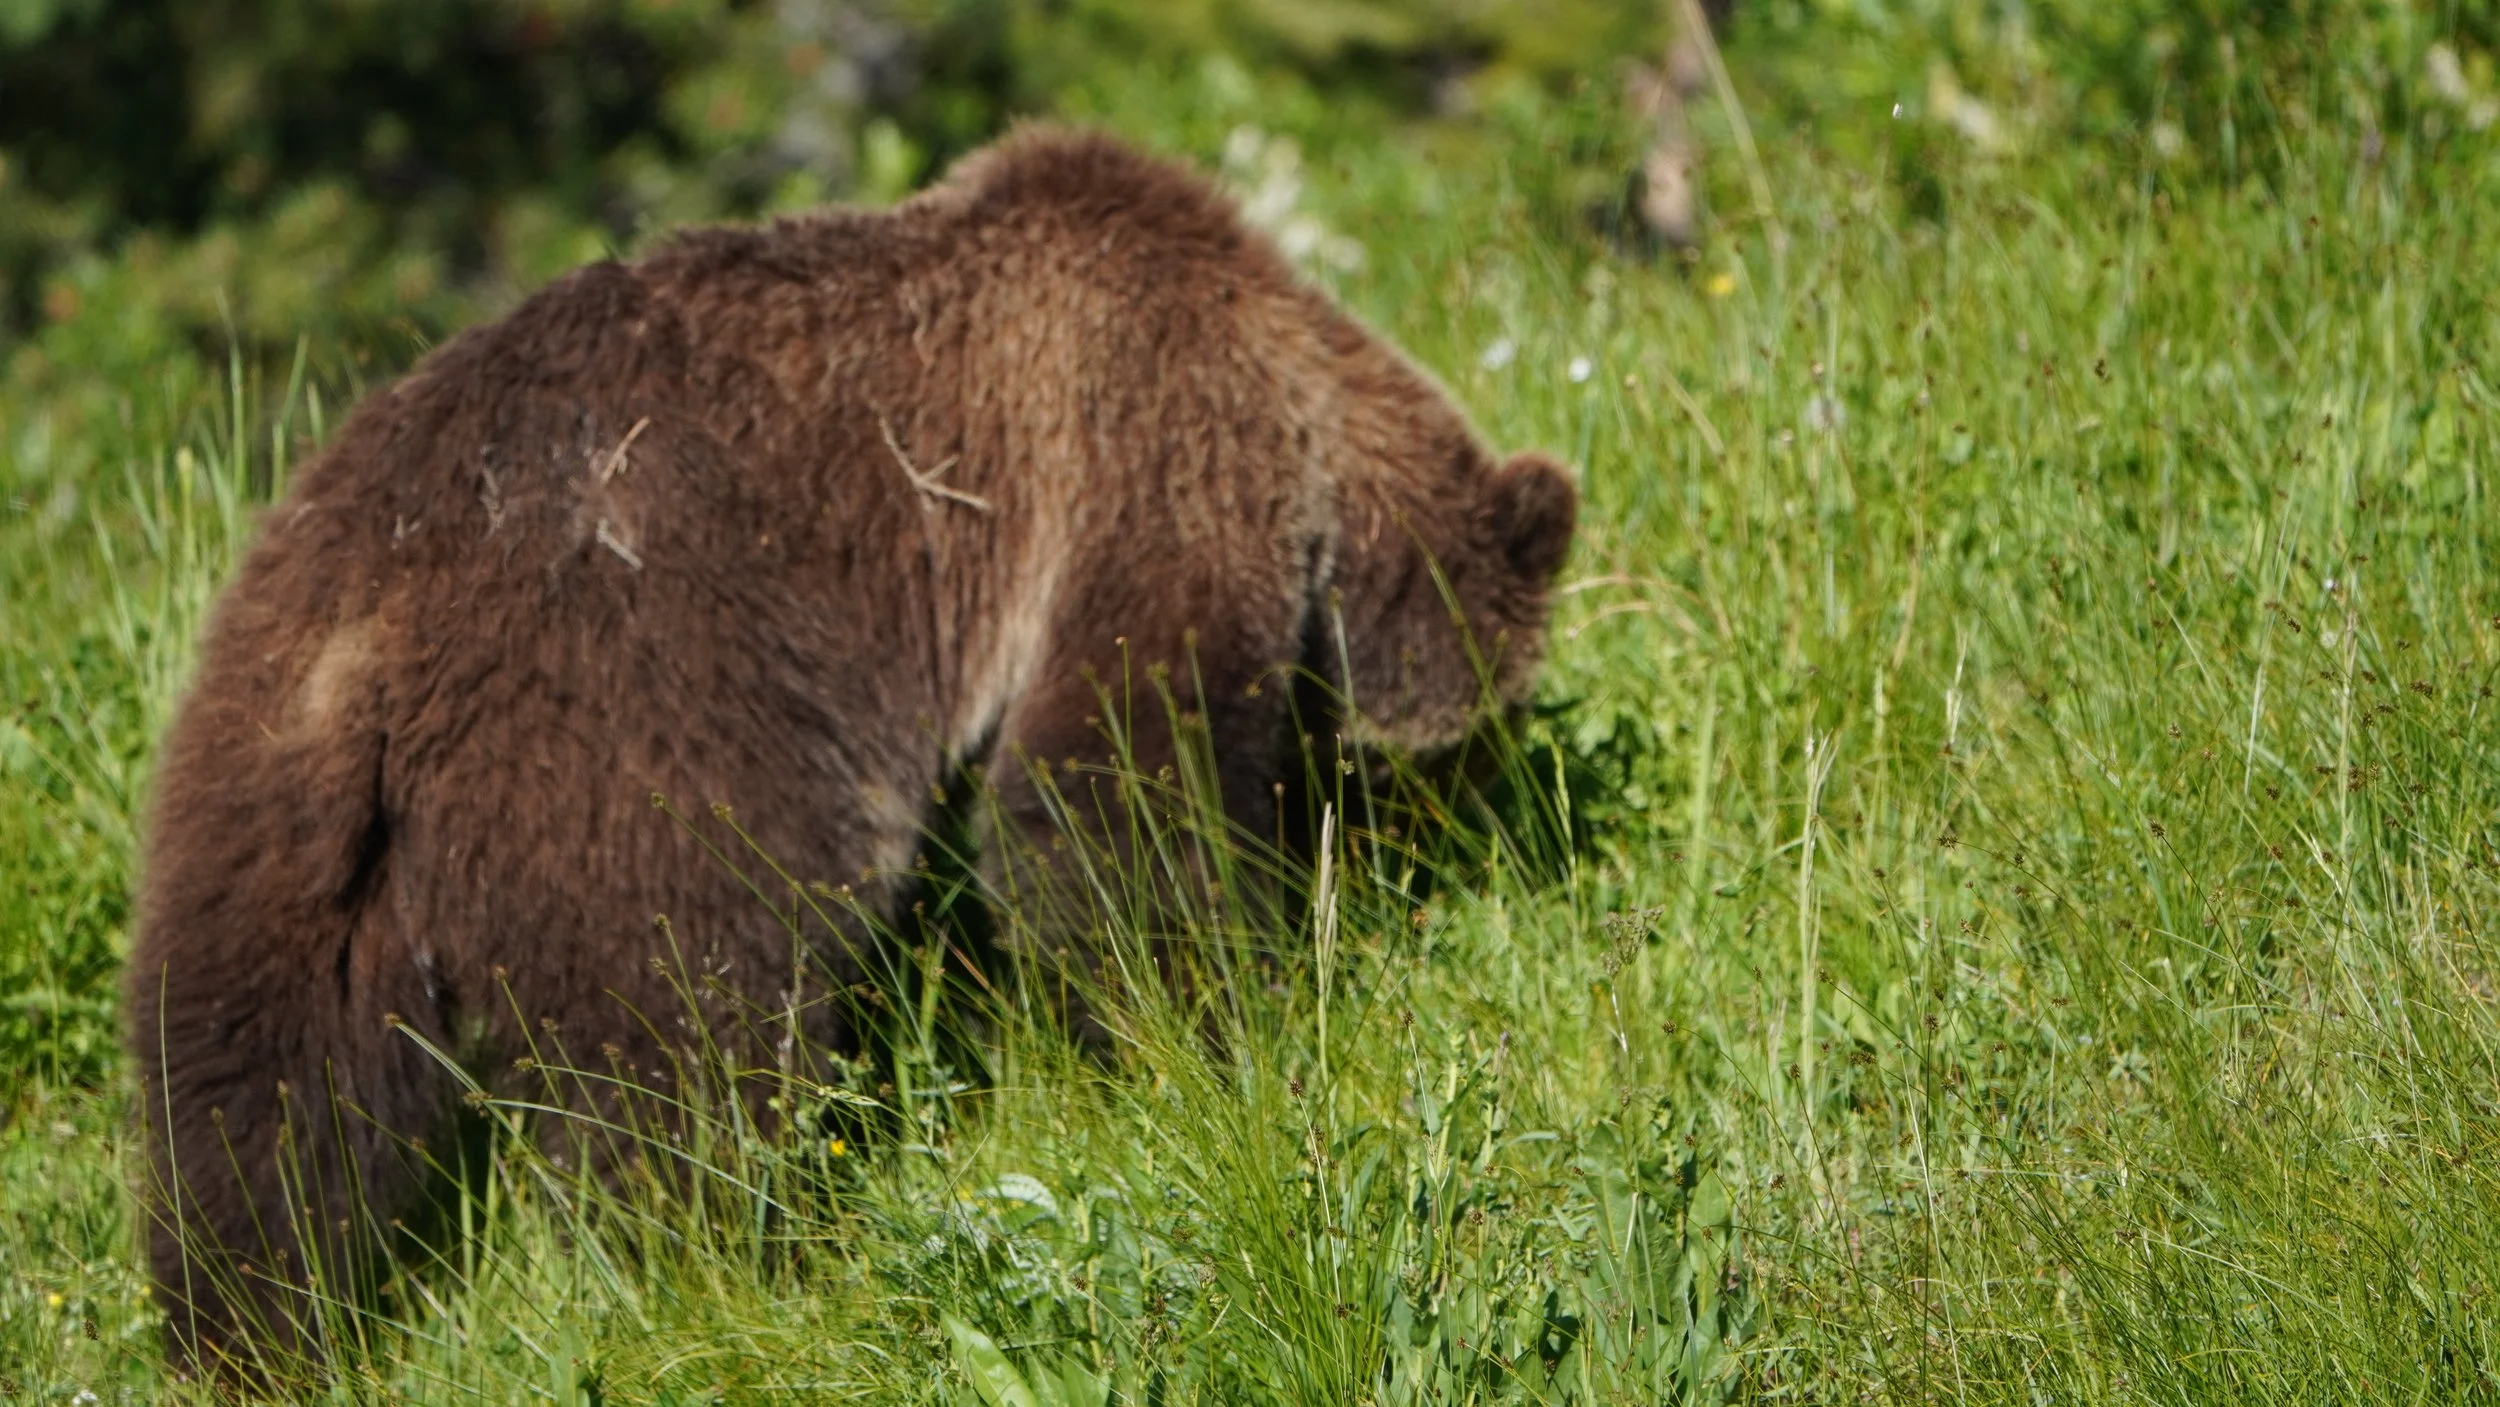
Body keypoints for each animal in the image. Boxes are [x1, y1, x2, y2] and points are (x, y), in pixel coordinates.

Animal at [126, 123, 1576, 1377]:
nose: (1438, 813)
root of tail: (380, 611)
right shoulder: (1142, 444)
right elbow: (1101, 795)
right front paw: (1215, 1027)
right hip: (633, 725)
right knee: (688, 1027)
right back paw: (731, 1273)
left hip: (263, 789)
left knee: (251, 1088)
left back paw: (250, 1336)